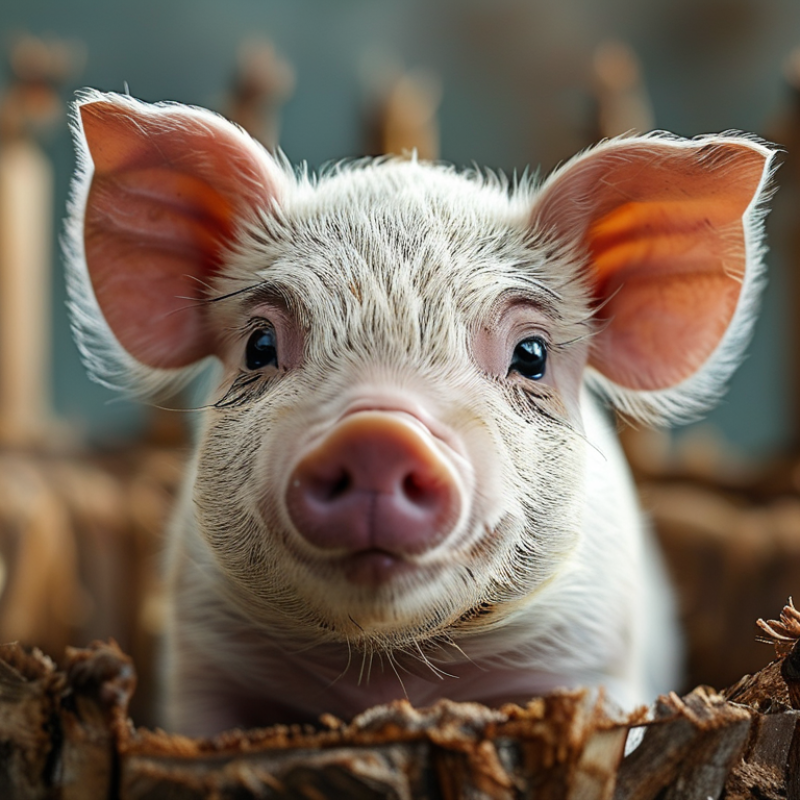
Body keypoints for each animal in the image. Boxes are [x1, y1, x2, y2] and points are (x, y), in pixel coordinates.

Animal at [65, 90, 775, 736]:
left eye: (532, 355)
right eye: (259, 345)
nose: (377, 434)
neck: (389, 671)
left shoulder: (596, 658)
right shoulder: (203, 660)